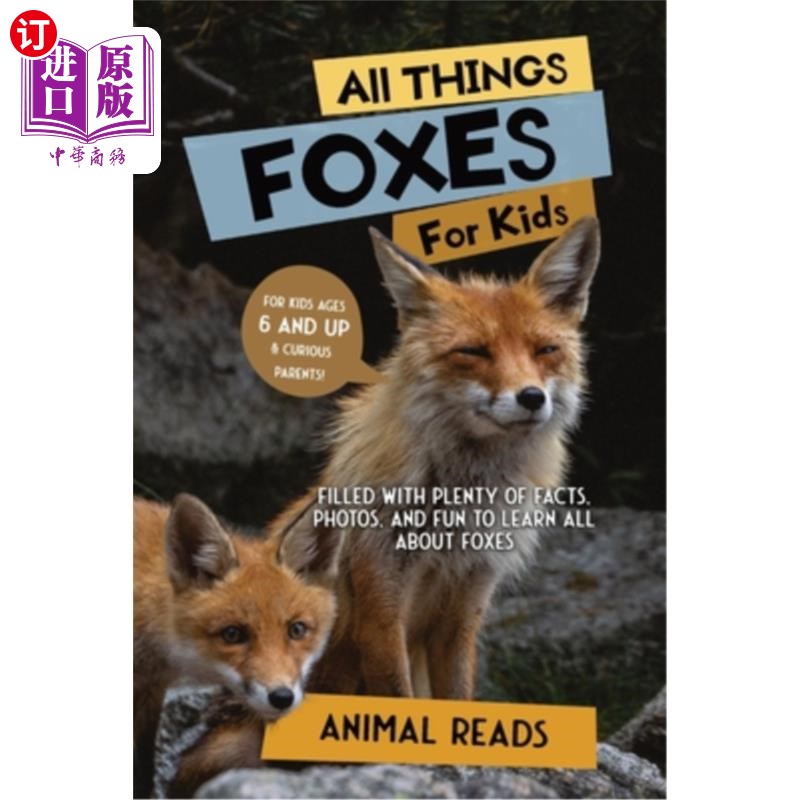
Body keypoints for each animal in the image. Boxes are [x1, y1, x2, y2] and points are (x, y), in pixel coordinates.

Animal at [270, 215, 602, 700]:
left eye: (545, 350)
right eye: (473, 351)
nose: (531, 397)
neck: (454, 523)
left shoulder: (463, 613)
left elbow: (459, 696)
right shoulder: (381, 612)